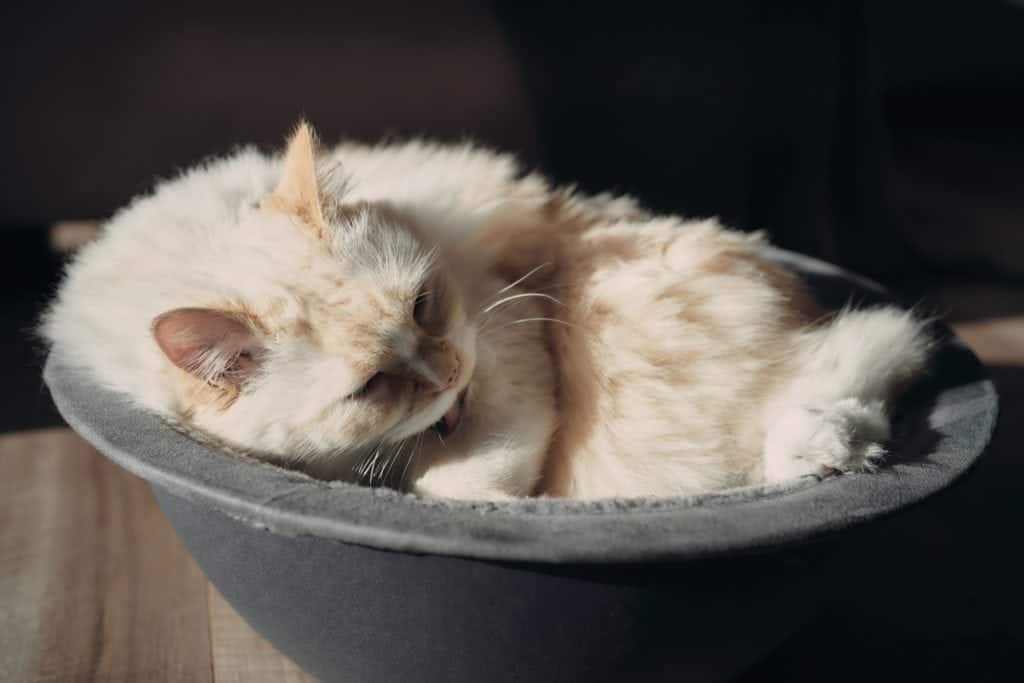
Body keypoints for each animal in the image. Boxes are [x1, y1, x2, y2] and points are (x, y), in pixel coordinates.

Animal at [44, 122, 933, 499]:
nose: (449, 374)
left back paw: (819, 451)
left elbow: (465, 481)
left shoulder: (507, 337)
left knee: (867, 359)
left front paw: (498, 514)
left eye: (424, 303)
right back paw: (820, 452)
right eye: (371, 386)